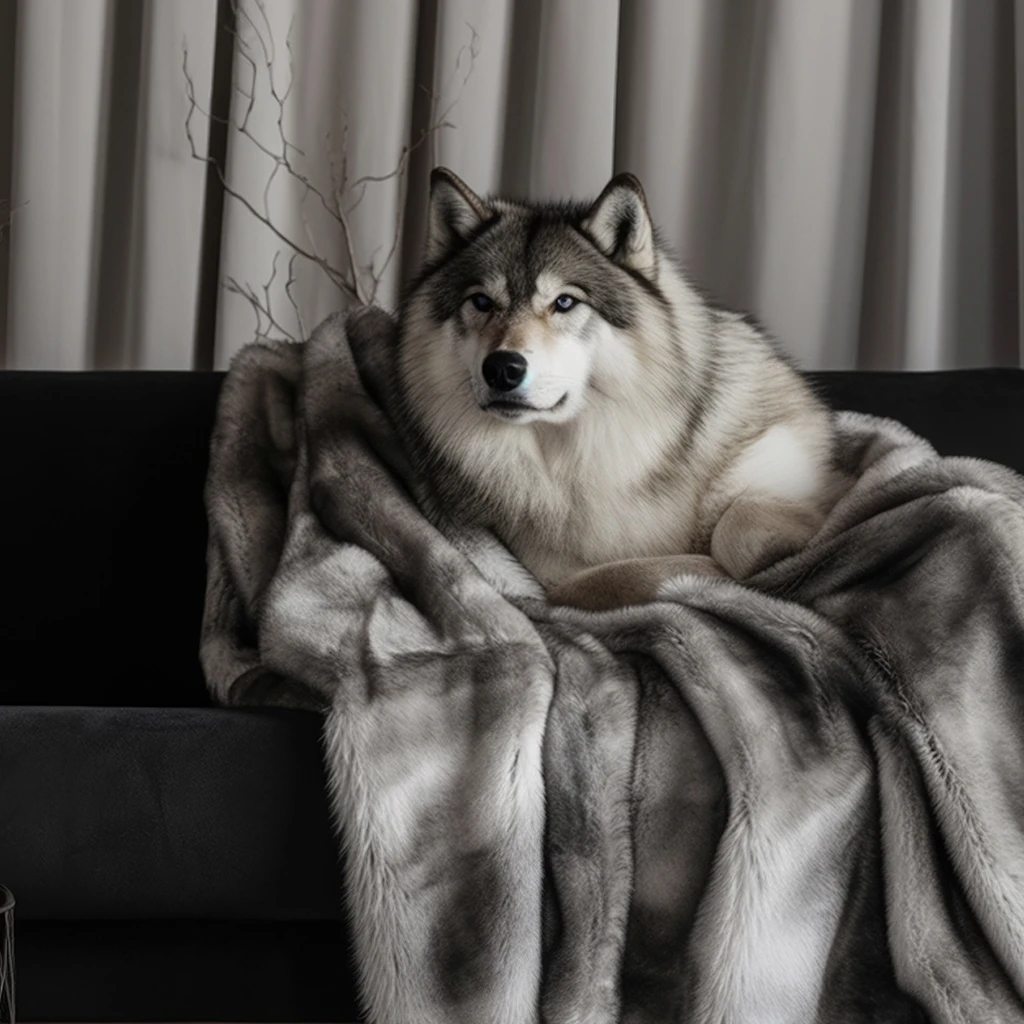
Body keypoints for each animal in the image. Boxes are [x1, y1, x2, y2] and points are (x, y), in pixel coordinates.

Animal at [395, 167, 841, 610]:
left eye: (564, 302)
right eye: (482, 302)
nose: (502, 368)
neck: (596, 454)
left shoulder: (780, 460)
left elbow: (738, 528)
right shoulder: (545, 574)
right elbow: (594, 581)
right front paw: (700, 574)